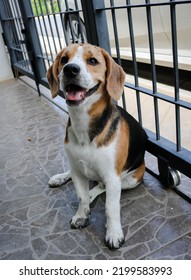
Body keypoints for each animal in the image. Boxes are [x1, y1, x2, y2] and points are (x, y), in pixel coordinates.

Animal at [46, 43, 148, 249]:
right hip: (76, 166)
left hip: (132, 178)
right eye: (64, 59)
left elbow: (111, 207)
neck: (83, 123)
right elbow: (82, 197)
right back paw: (61, 178)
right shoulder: (78, 173)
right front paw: (81, 215)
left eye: (92, 61)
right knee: (78, 176)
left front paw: (114, 233)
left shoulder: (112, 177)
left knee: (102, 186)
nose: (70, 69)